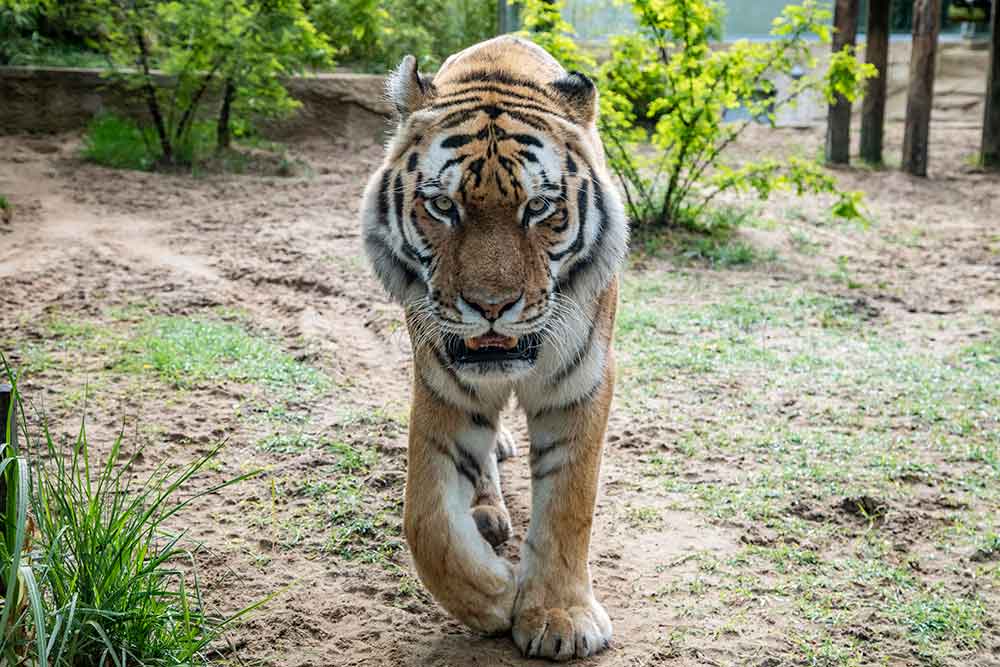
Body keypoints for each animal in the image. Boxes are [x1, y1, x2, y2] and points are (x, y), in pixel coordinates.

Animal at [360, 34, 624, 660]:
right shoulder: (443, 382)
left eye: (539, 208)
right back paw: (486, 513)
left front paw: (560, 618)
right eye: (443, 207)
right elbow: (426, 519)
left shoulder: (582, 382)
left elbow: (570, 502)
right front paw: (495, 597)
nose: (491, 305)